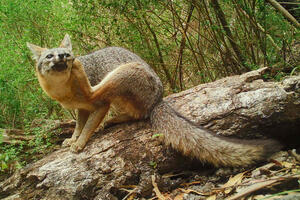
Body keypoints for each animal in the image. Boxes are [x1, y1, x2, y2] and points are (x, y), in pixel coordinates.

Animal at [26, 34, 282, 167]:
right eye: (49, 56)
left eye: (66, 55)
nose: (65, 58)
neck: (63, 91)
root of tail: (158, 98)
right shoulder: (81, 110)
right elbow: (79, 125)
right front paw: (73, 138)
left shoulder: (99, 105)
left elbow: (88, 126)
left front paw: (79, 143)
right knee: (135, 114)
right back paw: (115, 119)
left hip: (122, 73)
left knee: (98, 94)